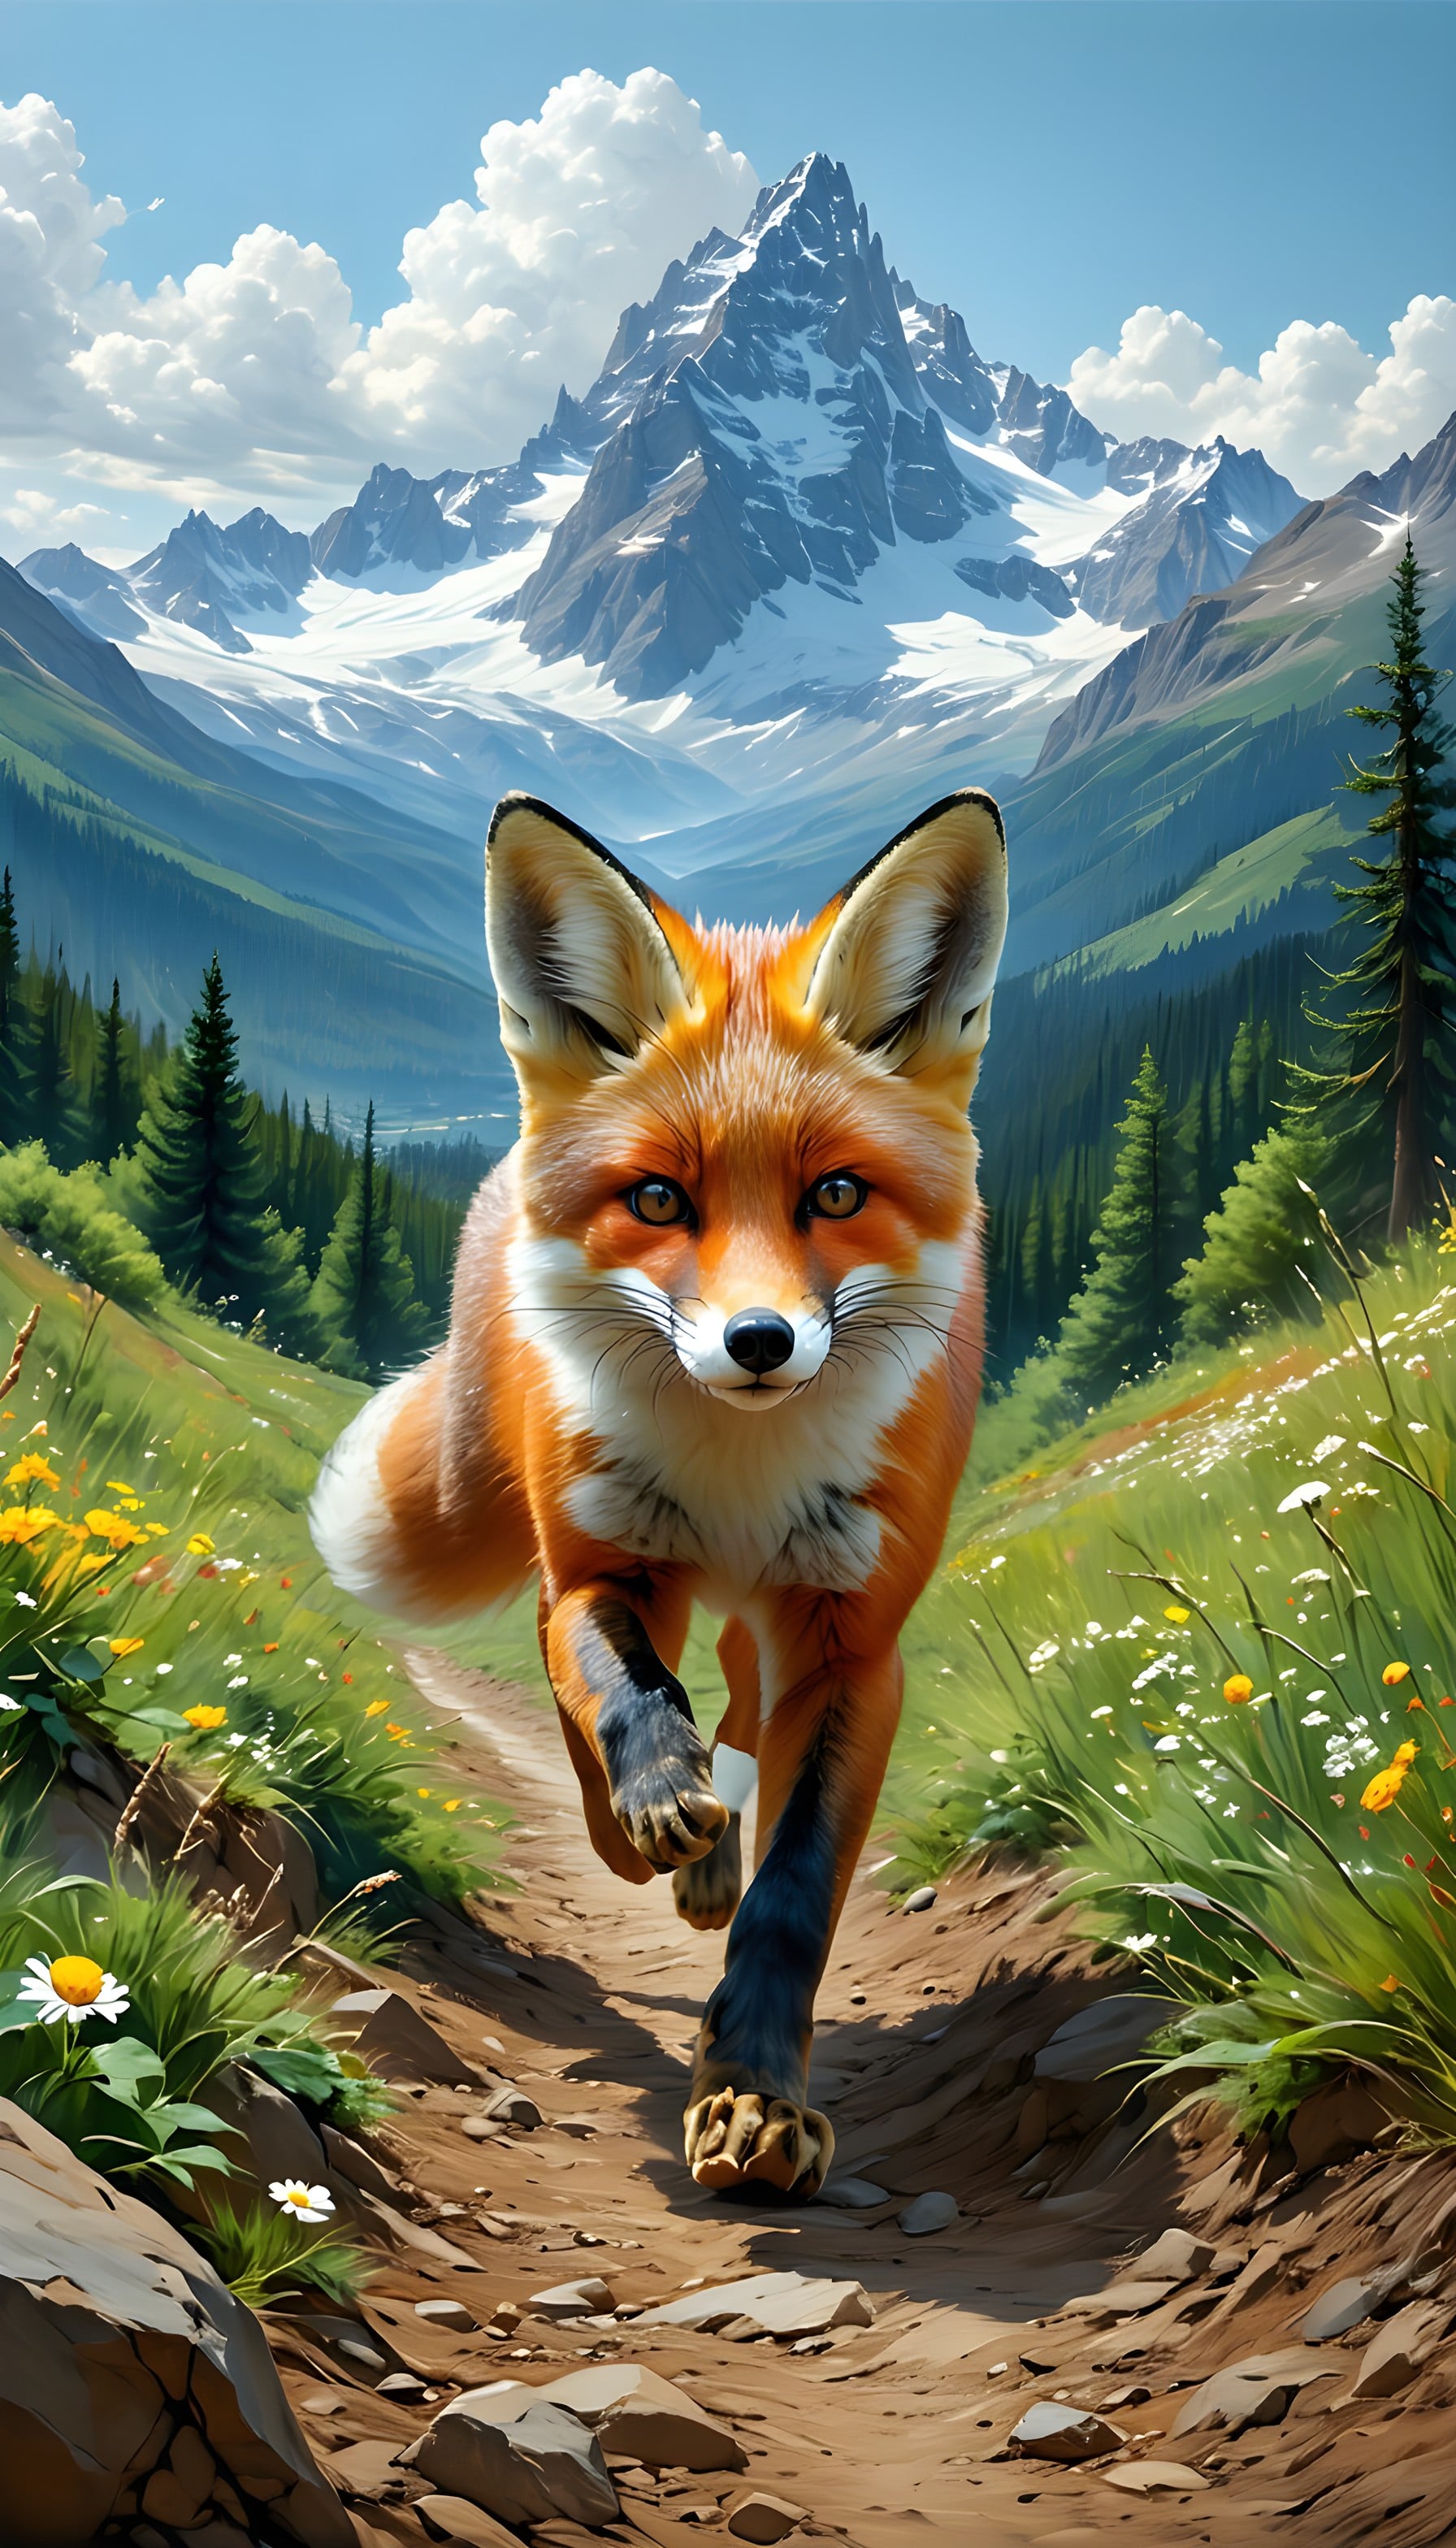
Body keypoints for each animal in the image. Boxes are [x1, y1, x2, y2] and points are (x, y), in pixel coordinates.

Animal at [310, 785, 1008, 2199]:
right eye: (657, 1198)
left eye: (836, 1194)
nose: (759, 1343)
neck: (742, 1477)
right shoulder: (603, 1568)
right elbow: (622, 1698)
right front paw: (654, 1803)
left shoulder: (854, 1645)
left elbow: (794, 1896)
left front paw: (754, 2098)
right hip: (624, 1573)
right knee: (600, 1698)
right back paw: (653, 1828)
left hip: (764, 1621)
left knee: (737, 1713)